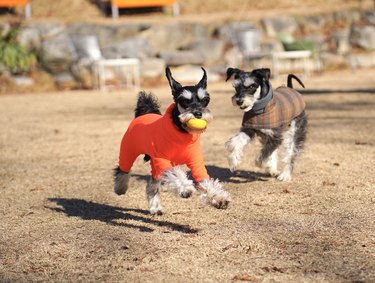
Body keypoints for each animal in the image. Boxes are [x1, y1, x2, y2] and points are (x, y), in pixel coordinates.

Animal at [113, 67, 231, 216]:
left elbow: (206, 180)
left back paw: (156, 208)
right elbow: (174, 173)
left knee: (151, 185)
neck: (182, 133)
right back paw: (120, 188)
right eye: (184, 101)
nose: (198, 114)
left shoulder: (196, 163)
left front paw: (219, 197)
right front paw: (185, 188)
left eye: (205, 100)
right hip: (128, 151)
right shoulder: (163, 160)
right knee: (122, 170)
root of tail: (145, 112)